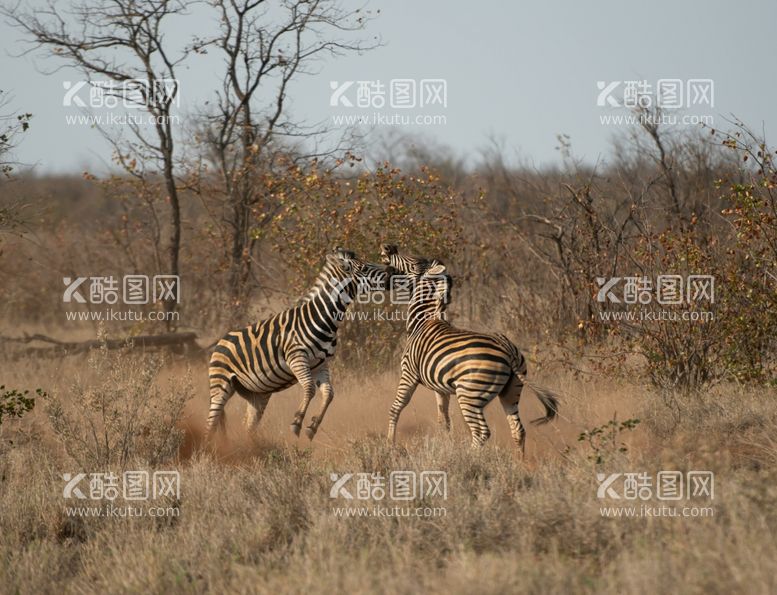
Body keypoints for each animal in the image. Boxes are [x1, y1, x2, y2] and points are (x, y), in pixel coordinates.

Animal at [206, 248, 394, 442]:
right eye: (364, 268)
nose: (392, 271)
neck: (323, 319)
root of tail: (221, 341)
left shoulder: (321, 364)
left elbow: (329, 394)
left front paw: (312, 426)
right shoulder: (297, 357)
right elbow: (310, 388)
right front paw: (297, 422)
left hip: (258, 393)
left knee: (248, 424)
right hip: (221, 384)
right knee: (212, 421)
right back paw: (208, 445)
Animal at [378, 247, 556, 456]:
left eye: (417, 262)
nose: (388, 248)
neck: (422, 321)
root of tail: (507, 350)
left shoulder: (408, 373)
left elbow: (396, 408)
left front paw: (390, 444)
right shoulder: (440, 388)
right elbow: (444, 421)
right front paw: (445, 445)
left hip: (469, 394)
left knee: (482, 432)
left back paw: (469, 457)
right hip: (511, 391)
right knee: (518, 430)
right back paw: (520, 462)